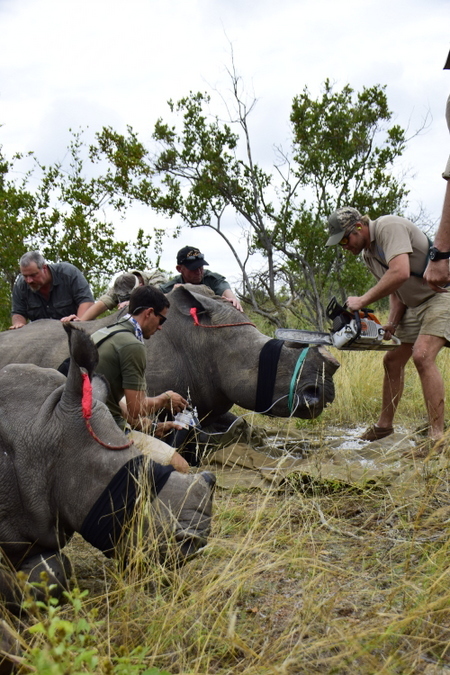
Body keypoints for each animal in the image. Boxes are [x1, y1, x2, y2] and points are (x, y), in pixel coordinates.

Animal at [0, 322, 214, 675]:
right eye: (132, 487)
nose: (195, 543)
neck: (42, 427)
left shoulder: (35, 523)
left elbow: (53, 572)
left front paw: (18, 594)